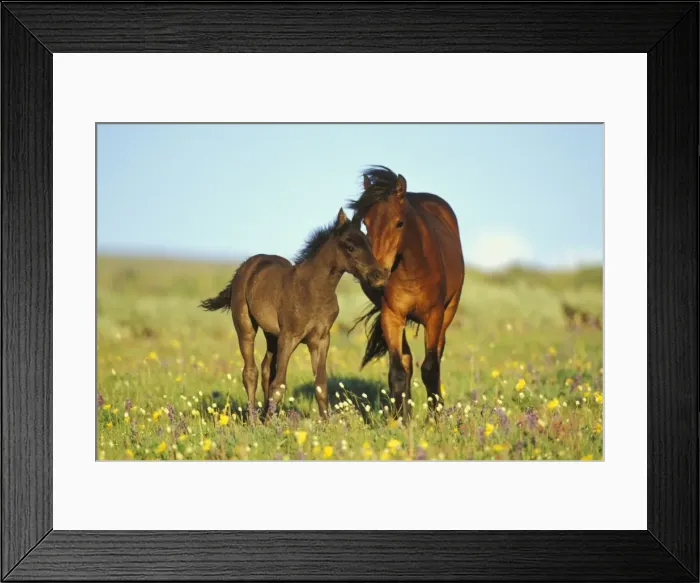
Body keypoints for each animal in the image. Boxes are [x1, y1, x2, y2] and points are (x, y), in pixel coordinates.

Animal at [200, 208, 389, 423]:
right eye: (350, 247)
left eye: (369, 244)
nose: (379, 275)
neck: (314, 290)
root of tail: (245, 266)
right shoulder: (289, 337)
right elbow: (279, 384)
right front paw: (269, 424)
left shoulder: (321, 340)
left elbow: (320, 384)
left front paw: (326, 424)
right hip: (246, 327)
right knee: (250, 372)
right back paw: (254, 420)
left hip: (271, 335)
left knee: (266, 369)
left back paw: (263, 415)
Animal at [348, 166, 465, 420]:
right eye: (366, 223)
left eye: (399, 223)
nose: (377, 275)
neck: (412, 271)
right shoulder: (391, 315)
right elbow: (398, 371)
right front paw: (400, 420)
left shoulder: (434, 316)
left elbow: (430, 368)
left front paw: (434, 419)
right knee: (407, 361)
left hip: (448, 314)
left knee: (435, 358)